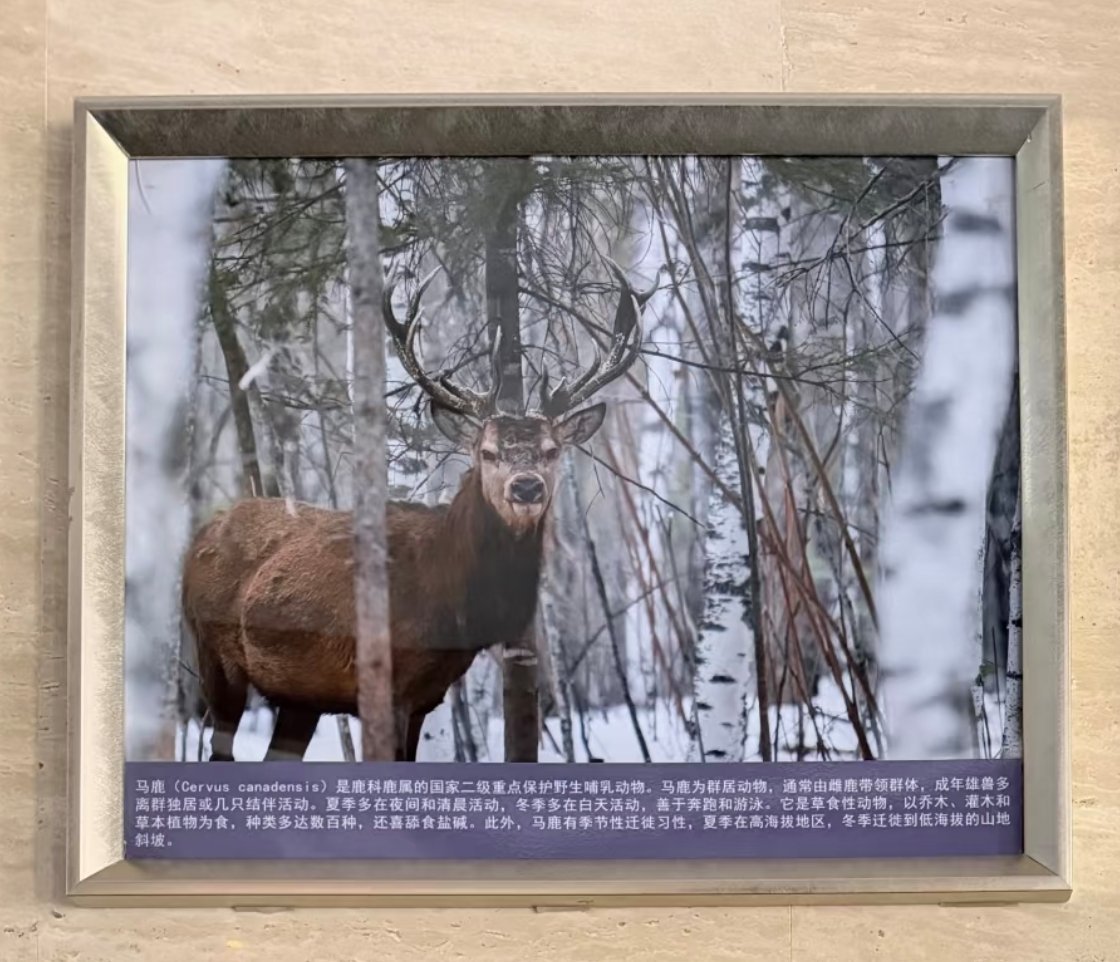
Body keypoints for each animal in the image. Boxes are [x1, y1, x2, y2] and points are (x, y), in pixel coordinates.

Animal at [181, 259, 653, 762]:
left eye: (552, 450)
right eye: (486, 452)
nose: (526, 486)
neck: (448, 599)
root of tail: (199, 537)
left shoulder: (427, 694)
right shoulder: (383, 683)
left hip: (299, 697)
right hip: (214, 655)